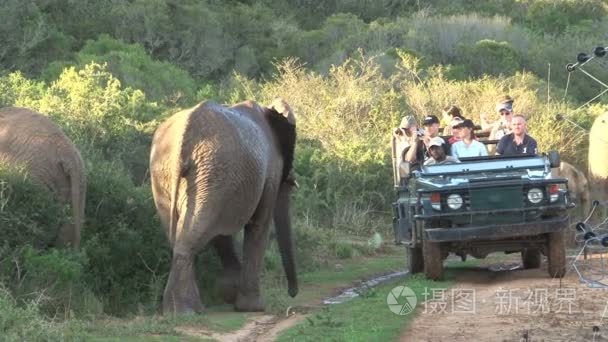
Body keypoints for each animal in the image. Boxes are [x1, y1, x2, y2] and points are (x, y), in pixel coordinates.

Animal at [150, 98, 296, 312]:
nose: (292, 294)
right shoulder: (270, 171)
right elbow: (258, 226)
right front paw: (253, 307)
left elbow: (221, 231)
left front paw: (230, 296)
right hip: (213, 169)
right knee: (197, 228)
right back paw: (187, 310)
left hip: (172, 172)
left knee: (189, 229)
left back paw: (180, 310)